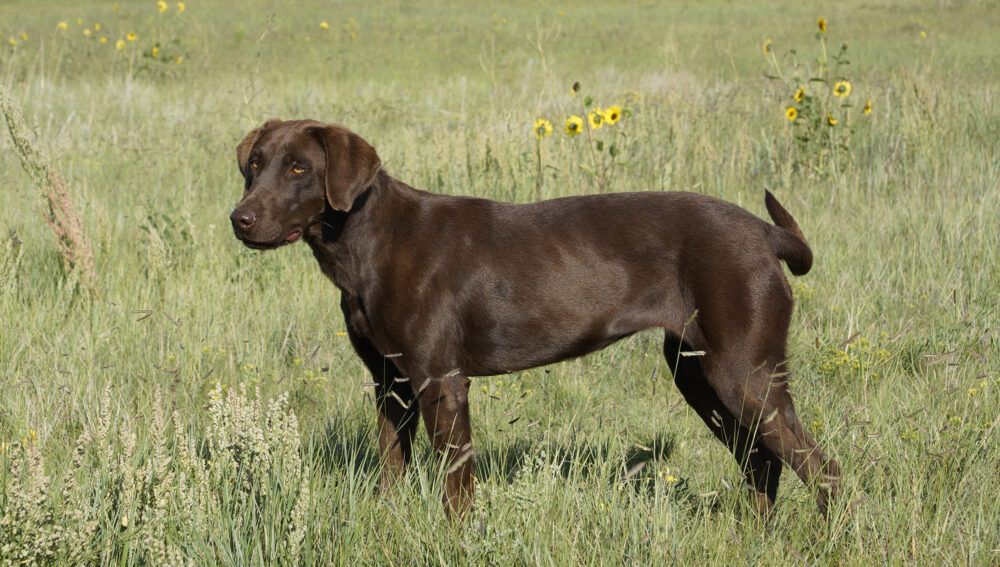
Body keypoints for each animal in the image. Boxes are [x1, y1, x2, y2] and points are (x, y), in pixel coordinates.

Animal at [230, 118, 840, 520]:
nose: (240, 219)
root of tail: (764, 233)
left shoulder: (441, 382)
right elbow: (391, 469)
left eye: (300, 168)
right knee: (763, 464)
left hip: (742, 373)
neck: (366, 242)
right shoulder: (391, 383)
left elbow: (457, 485)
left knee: (820, 468)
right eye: (255, 166)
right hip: (697, 372)